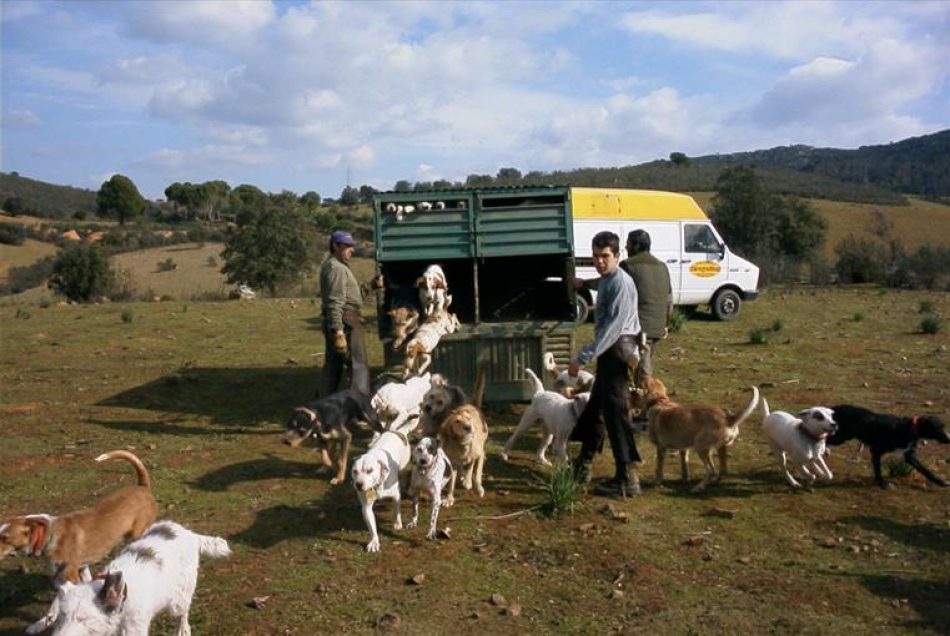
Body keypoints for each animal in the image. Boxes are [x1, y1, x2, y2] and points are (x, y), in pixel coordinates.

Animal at [0, 450, 158, 584]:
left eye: (5, 538)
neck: (50, 534)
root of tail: (142, 486)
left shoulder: (70, 574)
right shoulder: (82, 568)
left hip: (138, 533)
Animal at [38, 520, 231, 636]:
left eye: (82, 618)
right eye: (63, 616)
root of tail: (190, 534)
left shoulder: (134, 629)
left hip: (179, 598)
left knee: (182, 613)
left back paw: (182, 629)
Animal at [348, 424, 410, 556]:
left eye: (369, 470)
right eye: (355, 471)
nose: (359, 484)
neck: (378, 484)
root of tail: (397, 431)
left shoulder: (396, 496)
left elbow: (396, 509)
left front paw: (397, 523)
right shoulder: (366, 507)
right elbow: (372, 527)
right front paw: (374, 542)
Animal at [436, 366, 488, 504]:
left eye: (469, 419)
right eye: (457, 421)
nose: (468, 427)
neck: (463, 444)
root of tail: (472, 404)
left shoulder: (481, 455)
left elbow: (477, 474)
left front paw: (478, 489)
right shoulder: (453, 463)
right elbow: (451, 483)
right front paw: (449, 498)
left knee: (471, 465)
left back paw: (468, 481)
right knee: (466, 466)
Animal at [636, 378, 764, 492]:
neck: (659, 400)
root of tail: (729, 418)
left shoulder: (661, 448)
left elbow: (659, 468)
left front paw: (657, 481)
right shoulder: (684, 448)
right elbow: (684, 464)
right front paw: (685, 478)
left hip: (700, 448)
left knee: (712, 471)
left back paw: (698, 487)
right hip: (719, 448)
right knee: (722, 470)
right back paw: (713, 481)